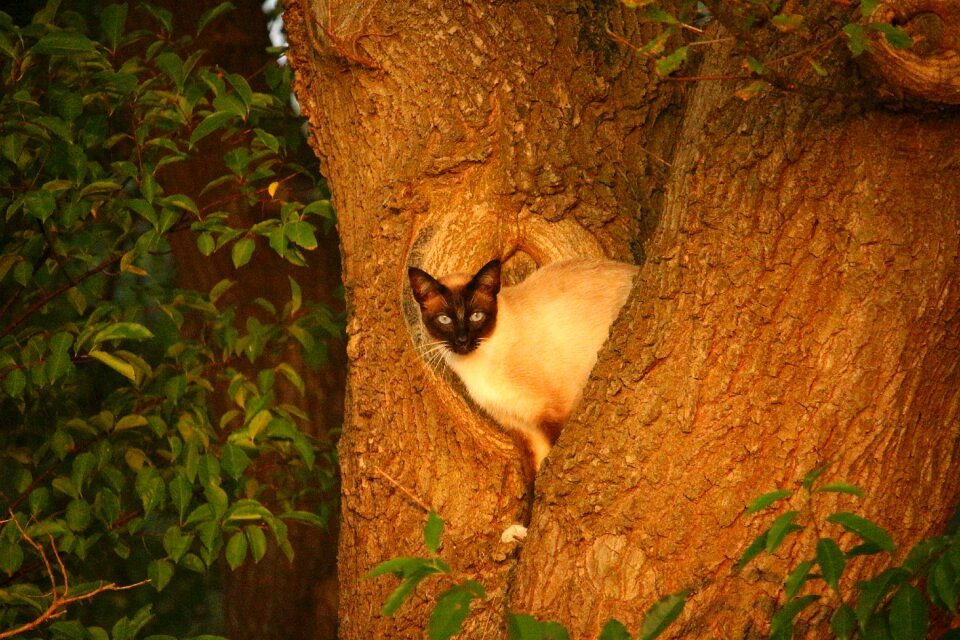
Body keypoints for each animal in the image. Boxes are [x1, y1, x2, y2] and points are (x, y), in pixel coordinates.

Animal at [406, 256, 636, 476]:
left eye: (476, 316)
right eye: (444, 319)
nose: (462, 341)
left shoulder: (553, 411)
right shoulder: (521, 427)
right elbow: (533, 475)